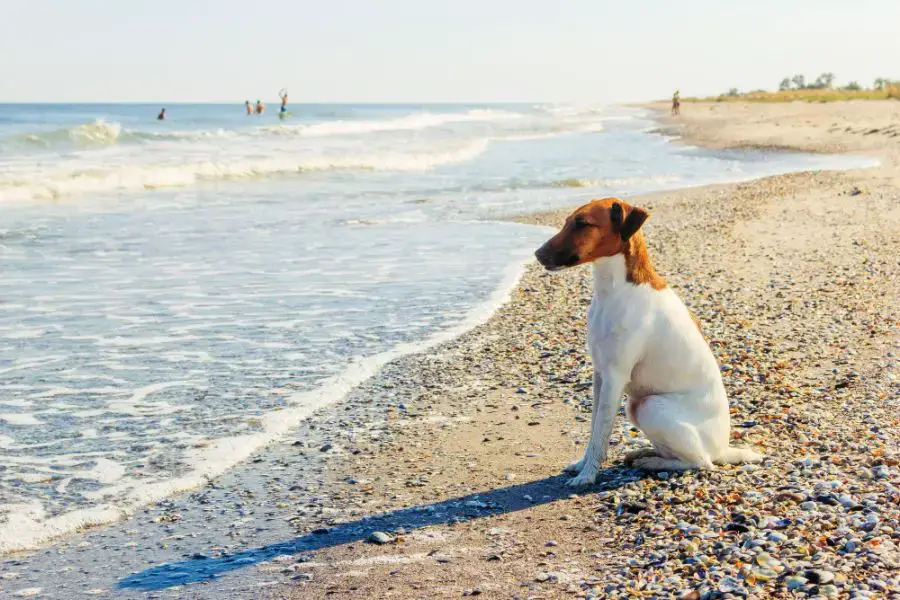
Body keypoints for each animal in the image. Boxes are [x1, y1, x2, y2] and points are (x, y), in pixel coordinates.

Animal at [536, 198, 760, 488]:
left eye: (582, 223)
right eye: (567, 221)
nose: (537, 254)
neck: (616, 290)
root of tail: (723, 449)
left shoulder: (615, 377)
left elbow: (601, 432)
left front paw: (588, 475)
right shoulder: (600, 375)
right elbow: (594, 426)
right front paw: (582, 465)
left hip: (649, 405)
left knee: (701, 462)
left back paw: (652, 462)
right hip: (635, 406)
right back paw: (645, 452)